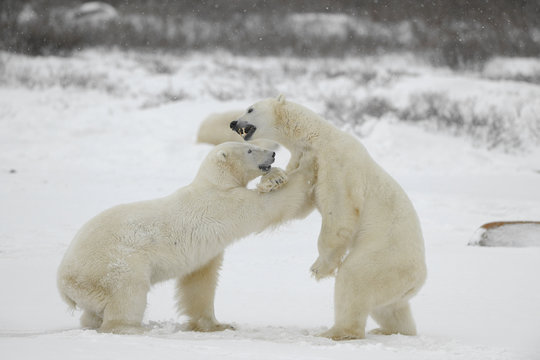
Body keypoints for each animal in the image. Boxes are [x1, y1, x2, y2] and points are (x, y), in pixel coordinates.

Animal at [57, 141, 314, 334]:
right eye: (249, 149)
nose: (272, 154)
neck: (215, 184)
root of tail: (64, 284)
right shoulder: (225, 204)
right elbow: (269, 206)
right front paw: (305, 168)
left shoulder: (206, 252)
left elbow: (200, 282)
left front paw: (218, 325)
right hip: (113, 264)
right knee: (128, 292)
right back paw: (132, 327)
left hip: (91, 286)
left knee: (93, 311)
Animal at [231, 95, 426, 340]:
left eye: (250, 109)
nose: (233, 122)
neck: (317, 137)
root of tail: (418, 280)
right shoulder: (301, 156)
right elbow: (299, 201)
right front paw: (271, 182)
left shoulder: (336, 162)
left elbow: (339, 209)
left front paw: (319, 268)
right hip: (396, 283)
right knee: (390, 308)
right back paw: (390, 329)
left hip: (384, 257)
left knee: (354, 279)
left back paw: (333, 332)